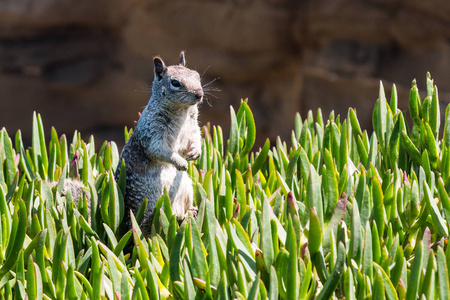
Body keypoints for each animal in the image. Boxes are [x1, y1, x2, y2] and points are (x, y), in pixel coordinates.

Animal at [116, 51, 202, 234]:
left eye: (197, 75)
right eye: (175, 83)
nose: (199, 94)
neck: (182, 112)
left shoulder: (193, 126)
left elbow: (197, 137)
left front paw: (196, 152)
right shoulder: (152, 131)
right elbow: (159, 150)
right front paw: (181, 162)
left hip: (186, 188)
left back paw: (190, 212)